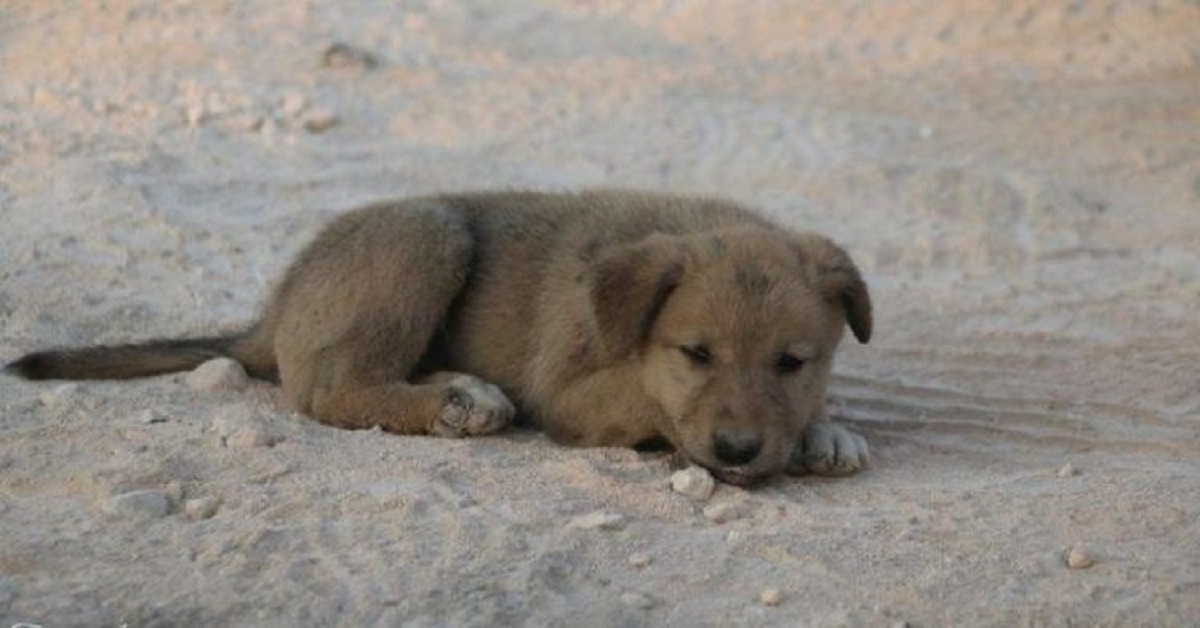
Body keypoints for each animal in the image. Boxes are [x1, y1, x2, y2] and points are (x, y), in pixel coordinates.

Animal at [7, 189, 873, 485]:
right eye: (695, 354)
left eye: (793, 362)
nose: (738, 452)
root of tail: (276, 307)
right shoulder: (568, 389)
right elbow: (649, 397)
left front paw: (823, 430)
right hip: (427, 235)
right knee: (327, 389)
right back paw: (457, 402)